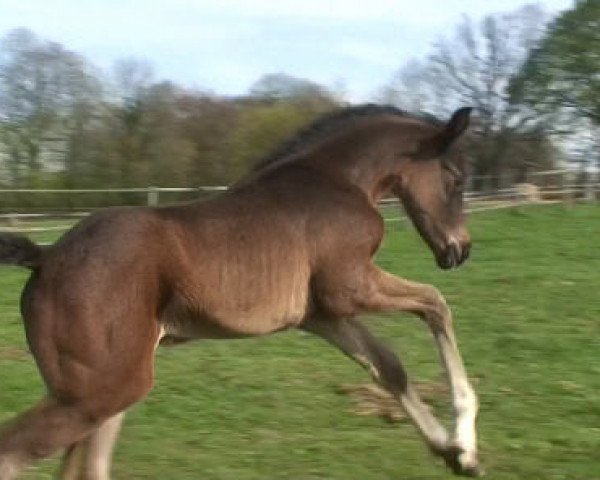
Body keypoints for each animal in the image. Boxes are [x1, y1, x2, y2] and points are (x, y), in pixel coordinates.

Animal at [0, 104, 480, 476]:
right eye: (455, 178)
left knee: (89, 466)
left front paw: (456, 455)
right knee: (12, 454)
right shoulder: (349, 287)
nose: (460, 250)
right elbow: (436, 303)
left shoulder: (320, 314)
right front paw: (465, 439)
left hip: (101, 392)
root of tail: (46, 256)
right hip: (97, 394)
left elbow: (388, 365)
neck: (338, 181)